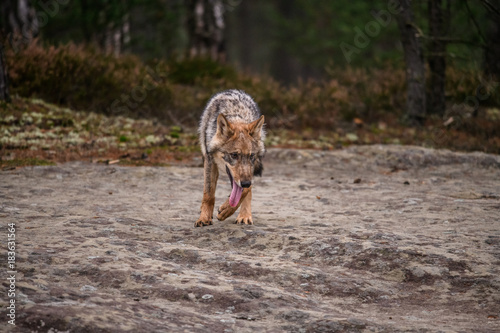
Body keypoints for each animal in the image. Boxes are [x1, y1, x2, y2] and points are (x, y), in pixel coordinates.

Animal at [195, 89, 266, 227]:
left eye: (251, 156)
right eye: (234, 155)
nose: (245, 183)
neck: (236, 116)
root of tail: (232, 90)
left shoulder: (250, 171)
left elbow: (245, 191)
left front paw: (227, 211)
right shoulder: (210, 161)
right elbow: (208, 194)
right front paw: (204, 218)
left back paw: (244, 216)